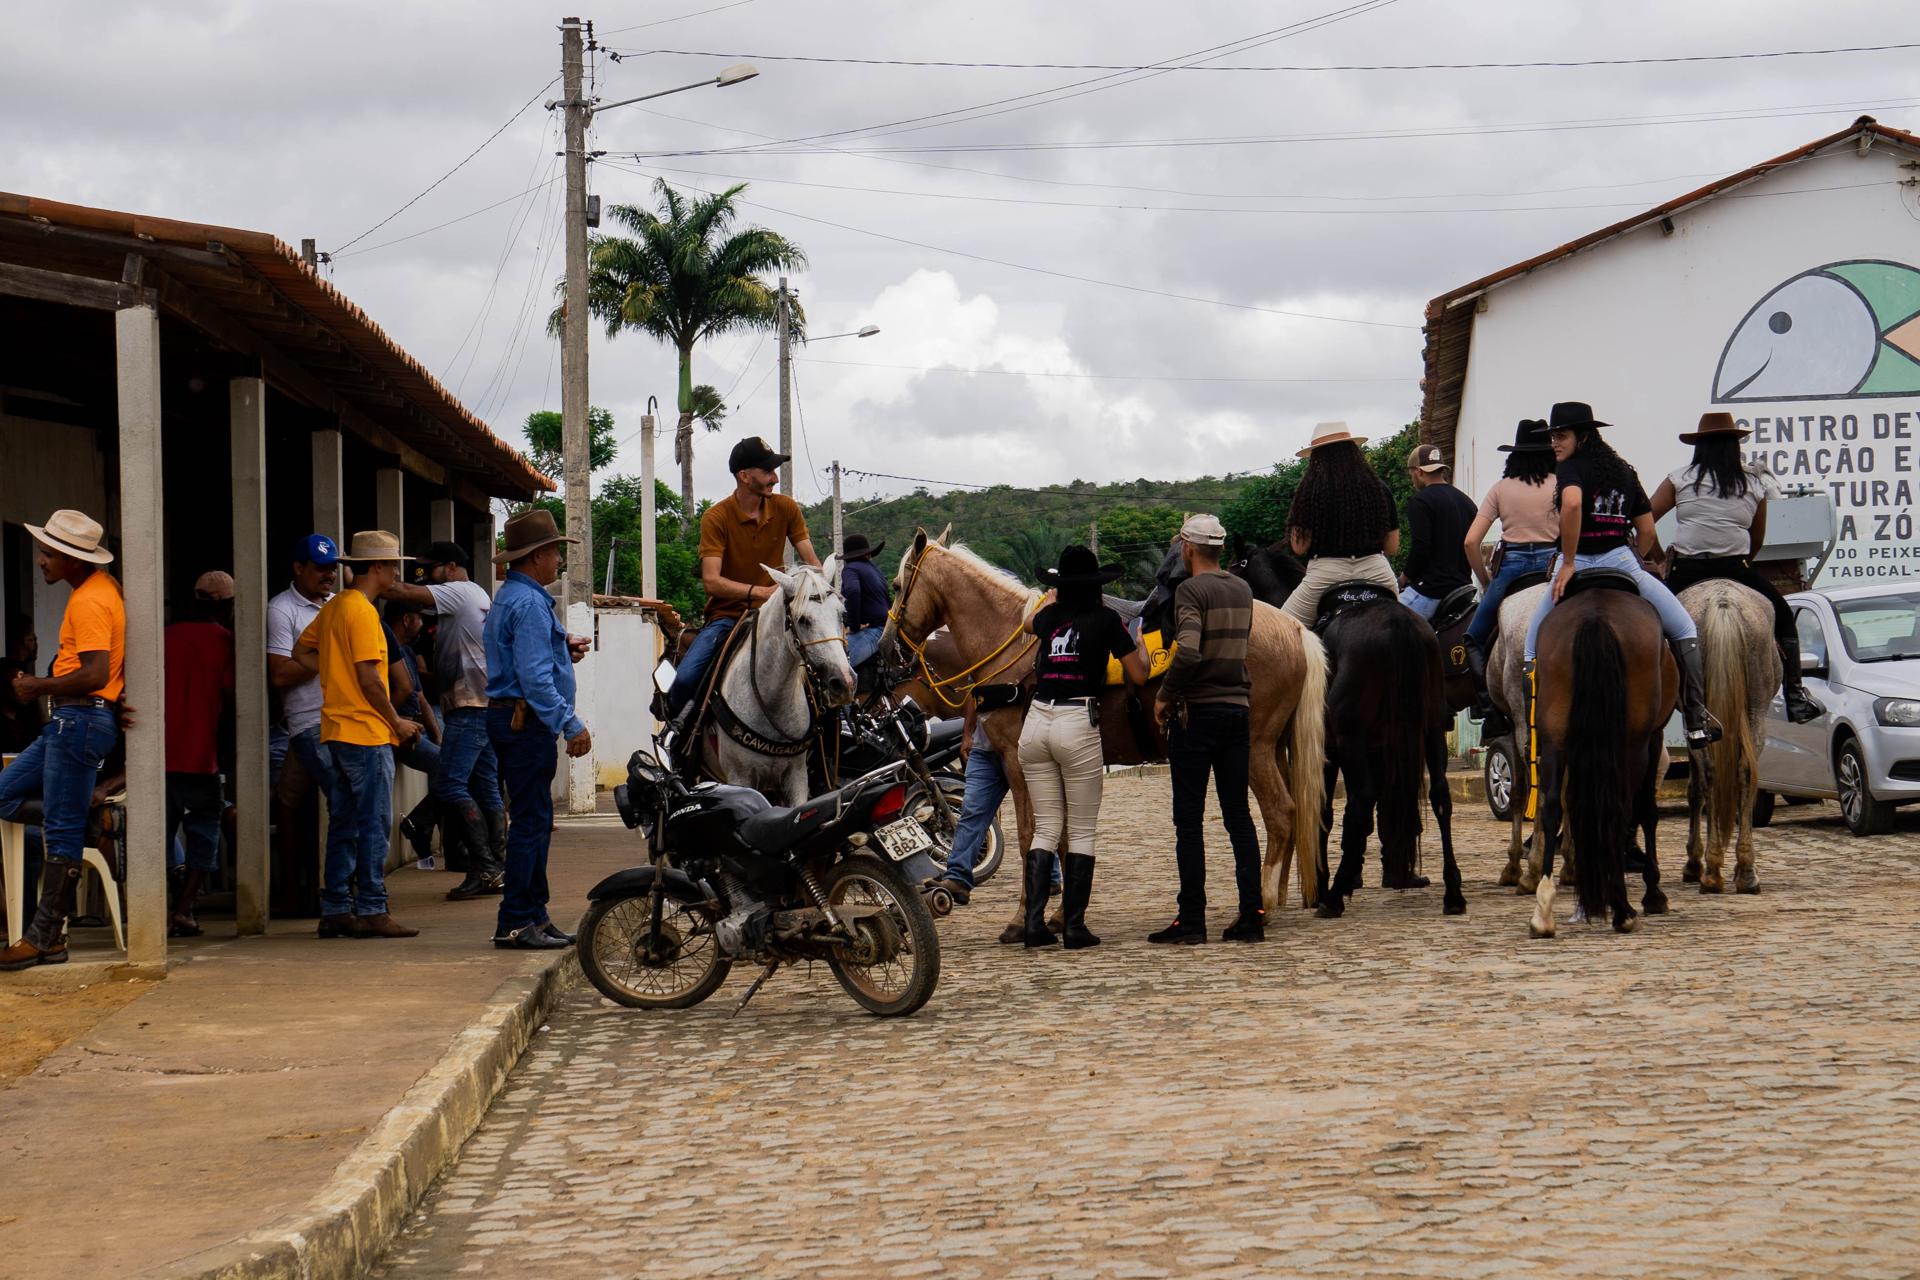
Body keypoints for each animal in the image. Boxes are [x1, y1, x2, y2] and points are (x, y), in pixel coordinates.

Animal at [690, 558, 858, 805]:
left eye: (842, 614)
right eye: (802, 620)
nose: (844, 682)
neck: (772, 700)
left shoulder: (797, 777)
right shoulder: (740, 777)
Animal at [881, 530, 1329, 942]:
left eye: (897, 586)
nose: (886, 651)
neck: (1015, 645)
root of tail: (1293, 628)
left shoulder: (1019, 761)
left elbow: (1031, 836)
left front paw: (1024, 920)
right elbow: (1061, 837)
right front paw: (1060, 914)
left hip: (1253, 750)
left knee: (1280, 813)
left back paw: (1262, 904)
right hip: (1275, 748)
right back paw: (1277, 896)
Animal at [1312, 593, 1465, 917]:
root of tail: (1398, 622)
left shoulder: (1328, 750)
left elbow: (1326, 811)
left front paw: (1322, 886)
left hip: (1350, 738)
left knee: (1362, 800)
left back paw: (1333, 897)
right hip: (1431, 728)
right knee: (1439, 796)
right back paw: (1452, 892)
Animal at [1527, 580, 1676, 938]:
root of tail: (1595, 617)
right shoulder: (1654, 737)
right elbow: (1648, 811)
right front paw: (1654, 893)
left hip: (1554, 739)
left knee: (1551, 807)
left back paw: (1544, 909)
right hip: (1633, 744)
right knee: (1621, 809)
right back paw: (1622, 908)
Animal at [1676, 579, 1778, 895]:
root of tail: (1724, 603)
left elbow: (1695, 789)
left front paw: (1694, 862)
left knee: (1713, 774)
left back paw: (1715, 870)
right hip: (1756, 710)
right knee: (1743, 772)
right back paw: (1742, 871)